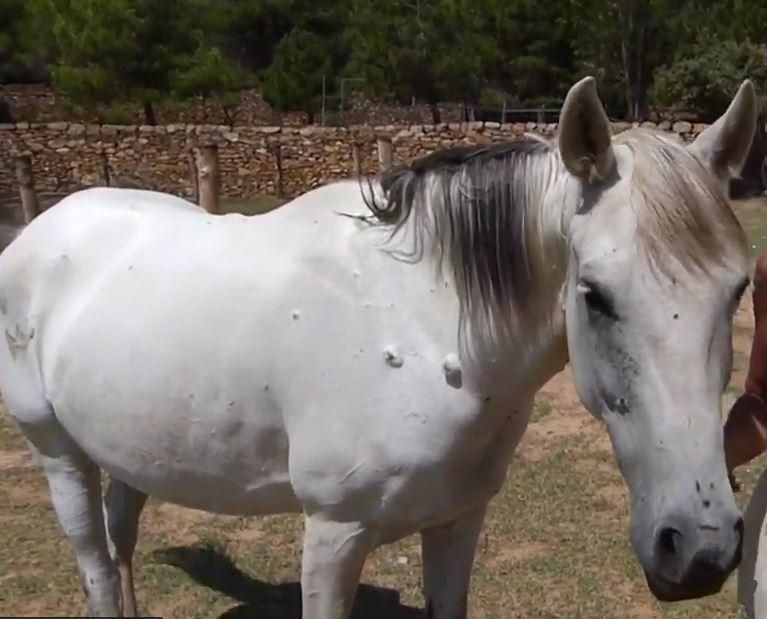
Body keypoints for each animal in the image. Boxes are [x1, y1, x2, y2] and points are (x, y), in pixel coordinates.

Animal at [0, 78, 760, 619]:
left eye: (737, 290)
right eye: (595, 295)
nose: (700, 548)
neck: (425, 332)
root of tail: (41, 229)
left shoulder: (458, 521)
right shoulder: (334, 535)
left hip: (128, 450)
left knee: (121, 542)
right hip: (58, 452)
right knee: (97, 565)